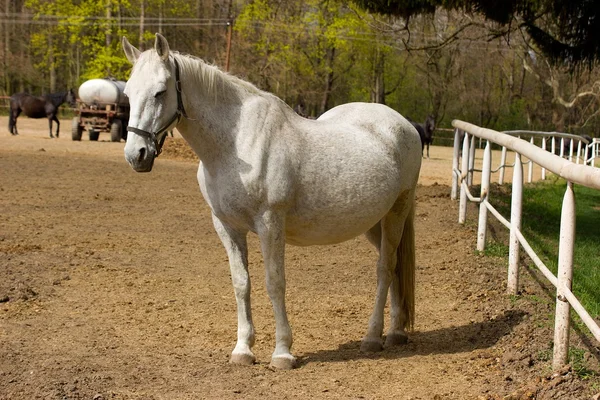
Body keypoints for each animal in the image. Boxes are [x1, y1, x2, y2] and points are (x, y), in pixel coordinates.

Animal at [122, 33, 422, 368]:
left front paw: (282, 352)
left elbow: (275, 283)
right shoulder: (227, 226)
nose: (136, 155)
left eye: (160, 92)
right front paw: (242, 350)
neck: (236, 144)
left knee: (385, 268)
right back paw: (395, 332)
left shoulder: (270, 223)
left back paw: (374, 337)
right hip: (374, 223)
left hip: (397, 212)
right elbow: (241, 283)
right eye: (128, 93)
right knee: (394, 268)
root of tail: (404, 125)